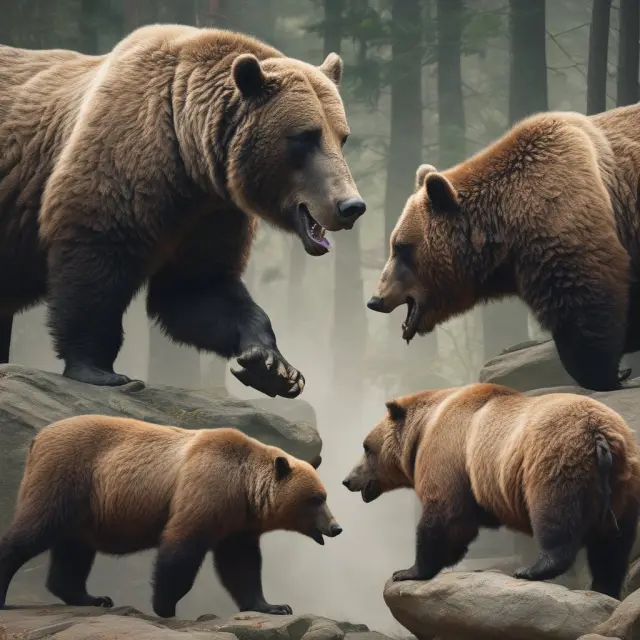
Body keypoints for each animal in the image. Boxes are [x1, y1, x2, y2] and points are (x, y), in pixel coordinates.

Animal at [0, 23, 366, 399]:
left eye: (342, 136)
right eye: (305, 136)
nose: (350, 205)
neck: (189, 157)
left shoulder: (210, 215)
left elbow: (198, 289)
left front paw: (273, 367)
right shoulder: (121, 167)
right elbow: (96, 261)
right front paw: (100, 369)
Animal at [0, 415, 342, 617]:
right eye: (316, 498)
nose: (336, 527)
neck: (243, 485)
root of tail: (38, 438)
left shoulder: (237, 522)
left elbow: (241, 564)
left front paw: (274, 605)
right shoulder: (204, 488)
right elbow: (182, 549)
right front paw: (165, 606)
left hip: (86, 506)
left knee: (73, 552)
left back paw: (93, 597)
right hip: (66, 476)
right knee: (34, 530)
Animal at [342, 382, 640, 599]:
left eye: (366, 448)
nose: (347, 480)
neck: (424, 426)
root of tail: (600, 436)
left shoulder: (449, 453)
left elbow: (445, 516)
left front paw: (407, 571)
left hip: (556, 461)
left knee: (556, 517)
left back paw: (532, 569)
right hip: (624, 484)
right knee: (613, 547)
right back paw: (604, 587)